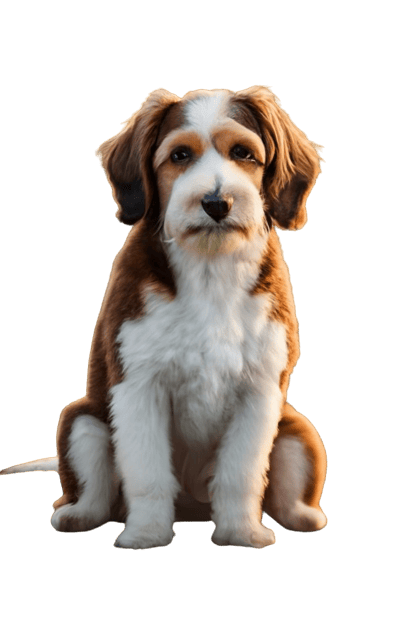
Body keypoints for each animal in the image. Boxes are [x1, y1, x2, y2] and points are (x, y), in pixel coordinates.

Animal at [0, 85, 328, 548]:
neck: (209, 270)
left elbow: (241, 474)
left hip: (297, 431)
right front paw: (146, 534)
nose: (216, 202)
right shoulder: (139, 386)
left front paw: (241, 533)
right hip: (83, 420)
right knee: (95, 491)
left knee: (284, 487)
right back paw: (77, 514)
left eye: (243, 153)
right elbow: (148, 472)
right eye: (180, 156)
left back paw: (302, 516)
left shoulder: (259, 392)